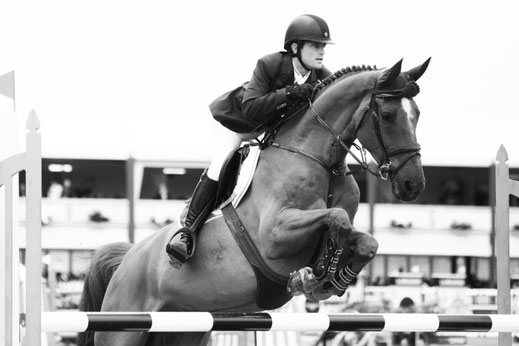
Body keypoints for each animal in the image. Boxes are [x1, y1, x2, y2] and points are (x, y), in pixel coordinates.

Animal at [77, 58, 432, 344]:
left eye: (417, 114)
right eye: (388, 115)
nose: (413, 185)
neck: (319, 159)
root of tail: (126, 259)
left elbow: (364, 240)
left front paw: (331, 279)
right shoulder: (274, 236)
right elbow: (337, 220)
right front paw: (313, 276)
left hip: (185, 328)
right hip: (124, 328)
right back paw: (181, 242)